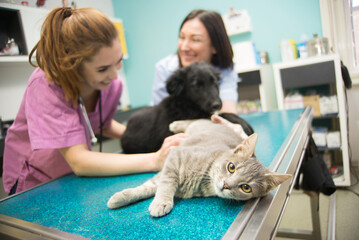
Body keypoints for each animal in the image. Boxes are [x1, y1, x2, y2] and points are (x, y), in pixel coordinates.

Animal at [107, 119, 292, 217]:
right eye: (231, 167)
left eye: (246, 187)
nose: (226, 185)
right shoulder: (174, 159)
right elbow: (161, 185)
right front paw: (157, 201)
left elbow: (152, 186)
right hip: (197, 126)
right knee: (195, 119)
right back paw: (175, 125)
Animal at [122, 62, 255, 154]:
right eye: (196, 86)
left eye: (214, 82)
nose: (217, 104)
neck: (187, 105)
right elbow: (215, 116)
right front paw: (244, 125)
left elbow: (222, 114)